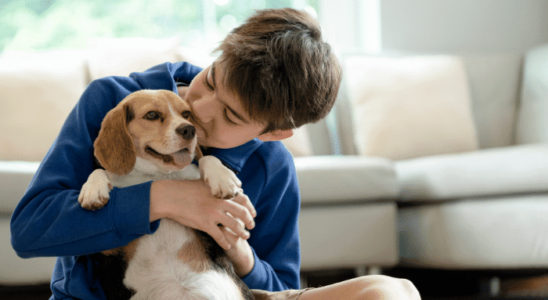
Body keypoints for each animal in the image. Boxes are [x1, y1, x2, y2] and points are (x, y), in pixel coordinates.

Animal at [77, 90, 255, 300]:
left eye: (186, 114)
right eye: (152, 115)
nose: (189, 130)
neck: (155, 175)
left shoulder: (216, 226)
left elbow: (207, 158)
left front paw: (222, 177)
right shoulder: (108, 250)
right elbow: (100, 171)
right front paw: (93, 189)